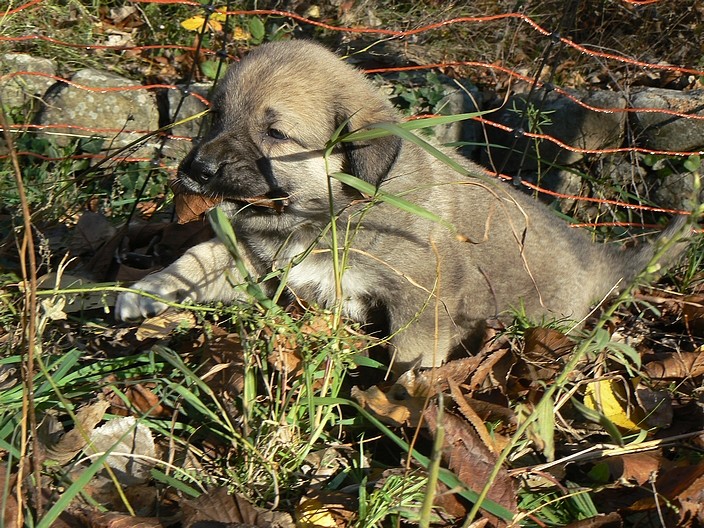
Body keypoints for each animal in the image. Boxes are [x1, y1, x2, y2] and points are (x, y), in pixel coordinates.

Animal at [117, 40, 692, 372]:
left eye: (275, 134)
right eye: (215, 116)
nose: (195, 169)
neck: (326, 216)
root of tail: (599, 261)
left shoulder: (423, 300)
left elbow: (410, 358)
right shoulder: (262, 265)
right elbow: (198, 259)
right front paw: (144, 292)